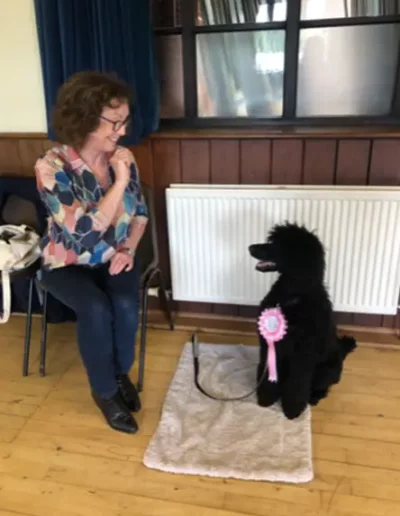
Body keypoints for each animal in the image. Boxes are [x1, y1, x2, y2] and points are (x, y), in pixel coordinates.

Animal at [250, 222, 356, 420]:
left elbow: (297, 385)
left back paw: (313, 397)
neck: (291, 297)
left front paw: (292, 411)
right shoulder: (270, 347)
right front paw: (266, 399)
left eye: (279, 244)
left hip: (326, 371)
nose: (250, 247)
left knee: (322, 388)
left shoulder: (302, 356)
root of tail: (341, 351)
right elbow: (269, 376)